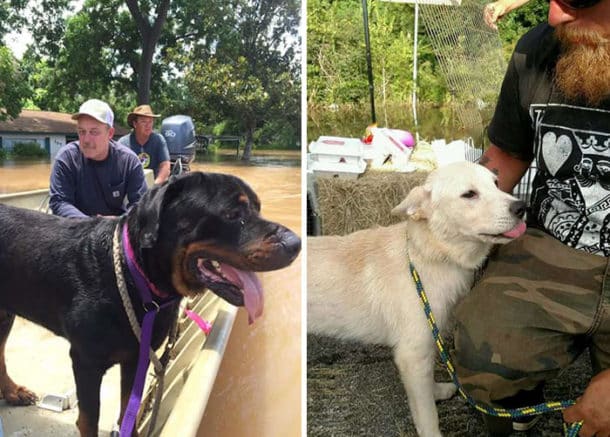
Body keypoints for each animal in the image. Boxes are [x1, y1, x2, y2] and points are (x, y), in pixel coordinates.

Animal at [0, 172, 300, 434]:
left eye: (258, 208)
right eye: (232, 214)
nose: (295, 243)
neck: (133, 276)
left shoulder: (136, 358)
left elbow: (128, 414)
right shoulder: (86, 361)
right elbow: (89, 420)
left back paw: (12, 392)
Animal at [306, 161, 524, 436]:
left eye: (496, 184)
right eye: (469, 194)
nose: (521, 207)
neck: (428, 254)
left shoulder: (428, 343)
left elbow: (428, 385)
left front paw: (437, 391)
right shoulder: (412, 355)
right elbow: (428, 415)